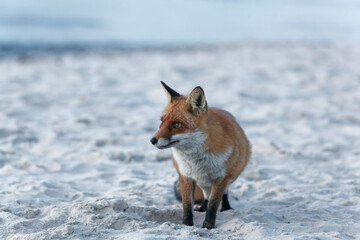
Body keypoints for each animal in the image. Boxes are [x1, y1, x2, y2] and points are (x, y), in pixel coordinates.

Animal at [150, 82, 250, 229]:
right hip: (202, 181)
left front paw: (208, 226)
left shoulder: (221, 178)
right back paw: (202, 207)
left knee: (223, 194)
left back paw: (226, 208)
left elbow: (213, 205)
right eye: (161, 123)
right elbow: (187, 206)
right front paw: (187, 225)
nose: (152, 140)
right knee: (206, 196)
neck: (196, 159)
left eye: (177, 124)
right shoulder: (186, 176)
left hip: (229, 178)